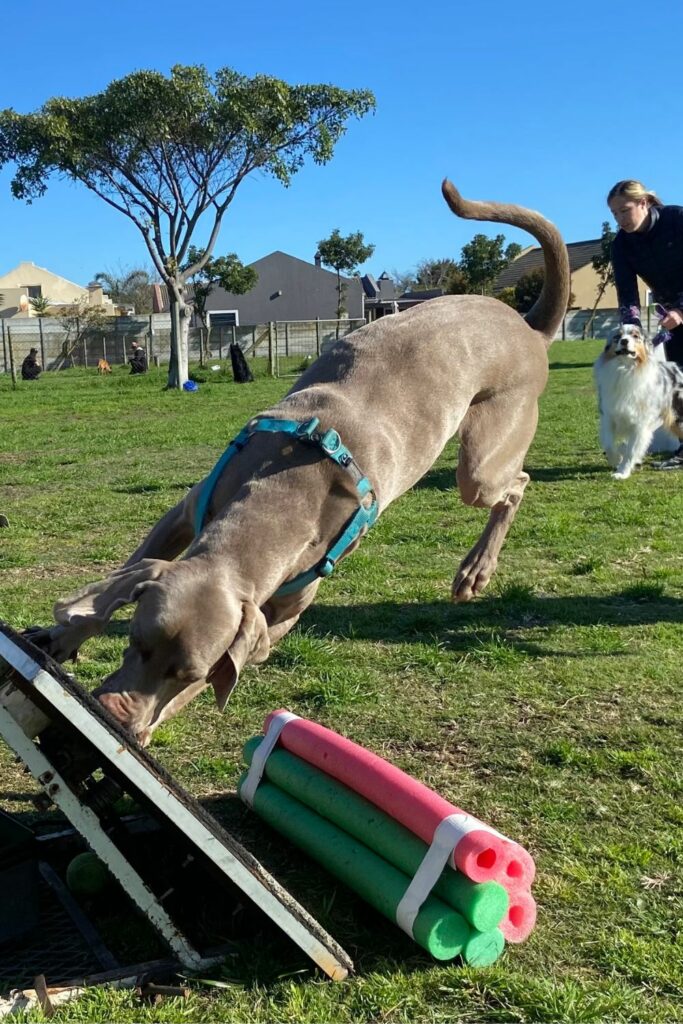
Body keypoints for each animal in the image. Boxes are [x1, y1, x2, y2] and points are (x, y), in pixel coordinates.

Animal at [26, 182, 569, 745]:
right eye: (136, 642)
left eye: (188, 672)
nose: (113, 713)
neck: (278, 506)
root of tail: (526, 325)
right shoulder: (183, 513)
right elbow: (120, 581)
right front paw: (65, 635)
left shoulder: (284, 613)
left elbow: (224, 672)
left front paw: (150, 722)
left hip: (482, 462)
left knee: (517, 482)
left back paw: (476, 570)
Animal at [593, 325, 683, 481]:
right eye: (617, 336)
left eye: (635, 336)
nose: (624, 341)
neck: (626, 369)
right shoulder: (608, 417)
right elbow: (609, 445)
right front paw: (616, 460)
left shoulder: (640, 424)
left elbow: (631, 451)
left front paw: (622, 472)